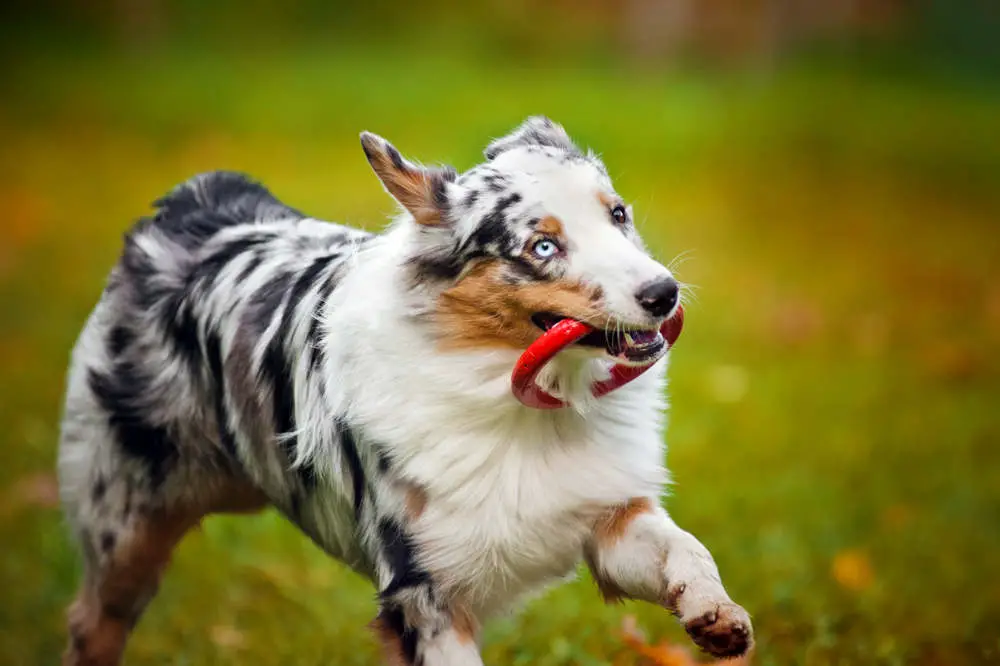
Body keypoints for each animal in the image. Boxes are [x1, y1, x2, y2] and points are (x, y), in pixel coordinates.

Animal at [56, 116, 752, 660]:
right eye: (542, 246)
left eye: (618, 214)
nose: (663, 293)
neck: (515, 401)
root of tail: (193, 204)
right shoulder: (424, 594)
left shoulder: (604, 516)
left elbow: (683, 547)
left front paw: (715, 613)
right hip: (126, 530)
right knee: (91, 622)